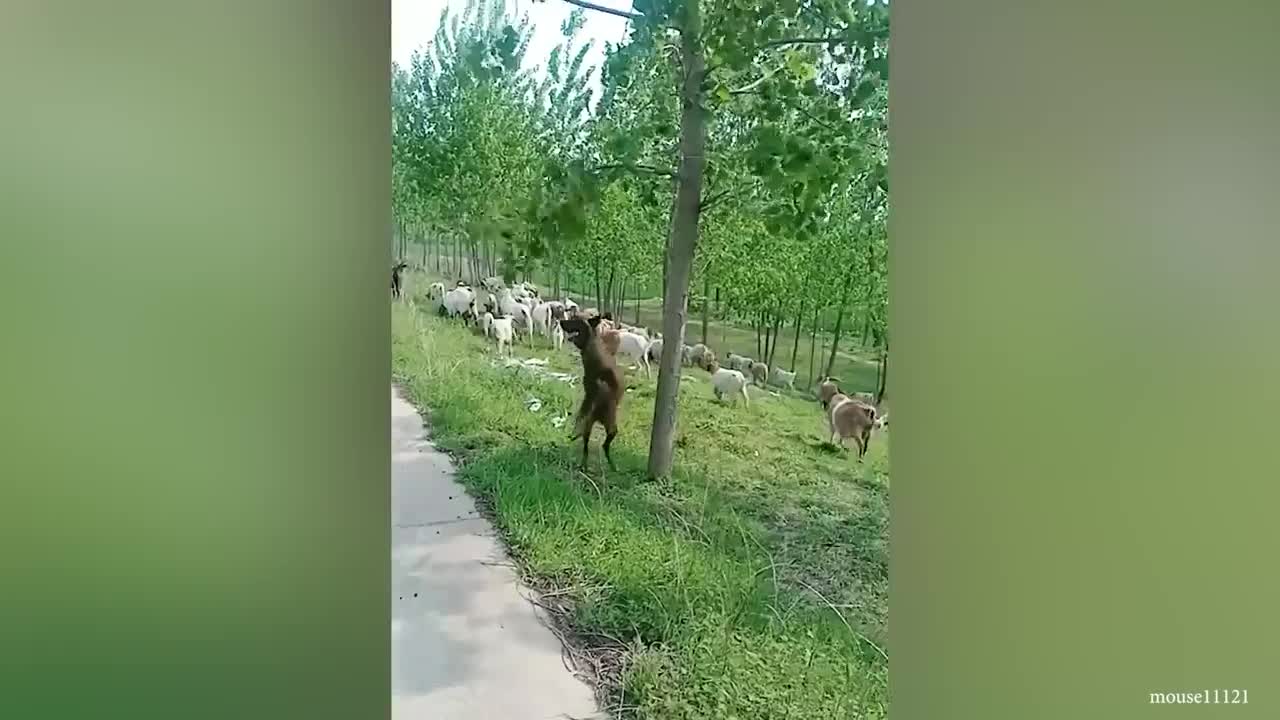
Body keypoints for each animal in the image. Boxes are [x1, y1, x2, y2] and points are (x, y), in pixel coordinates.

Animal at [559, 315, 623, 471]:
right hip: (594, 426)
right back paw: (585, 463)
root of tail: (599, 418)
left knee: (605, 444)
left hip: (610, 426)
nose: (560, 321)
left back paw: (611, 464)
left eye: (575, 319)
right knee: (590, 445)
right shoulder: (589, 397)